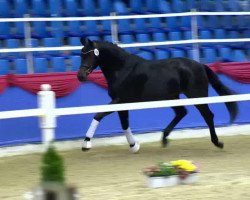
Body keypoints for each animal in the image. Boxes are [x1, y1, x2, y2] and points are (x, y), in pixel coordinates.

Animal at [77, 37, 237, 152]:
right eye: (81, 54)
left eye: (89, 55)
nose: (80, 76)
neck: (123, 69)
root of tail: (200, 65)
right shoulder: (122, 103)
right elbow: (124, 124)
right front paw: (134, 146)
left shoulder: (120, 100)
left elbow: (99, 115)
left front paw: (86, 143)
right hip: (172, 97)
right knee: (182, 112)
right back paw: (164, 139)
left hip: (196, 95)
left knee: (208, 116)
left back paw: (217, 142)